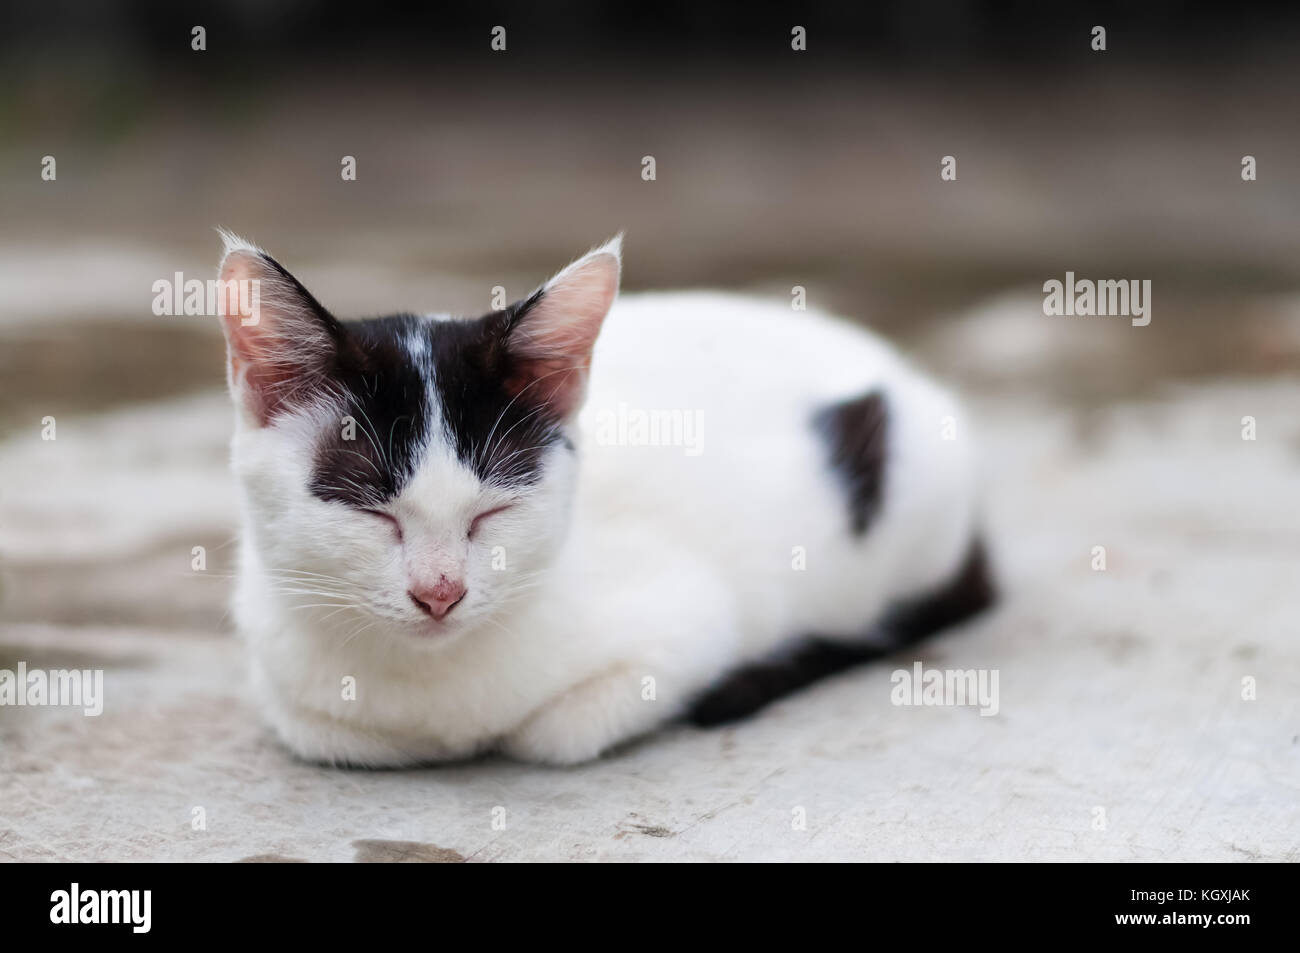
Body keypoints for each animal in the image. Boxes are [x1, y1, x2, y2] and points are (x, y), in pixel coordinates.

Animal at [215, 232, 993, 764]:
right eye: (371, 511)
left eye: (493, 510)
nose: (440, 593)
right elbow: (328, 729)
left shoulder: (690, 628)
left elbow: (555, 734)